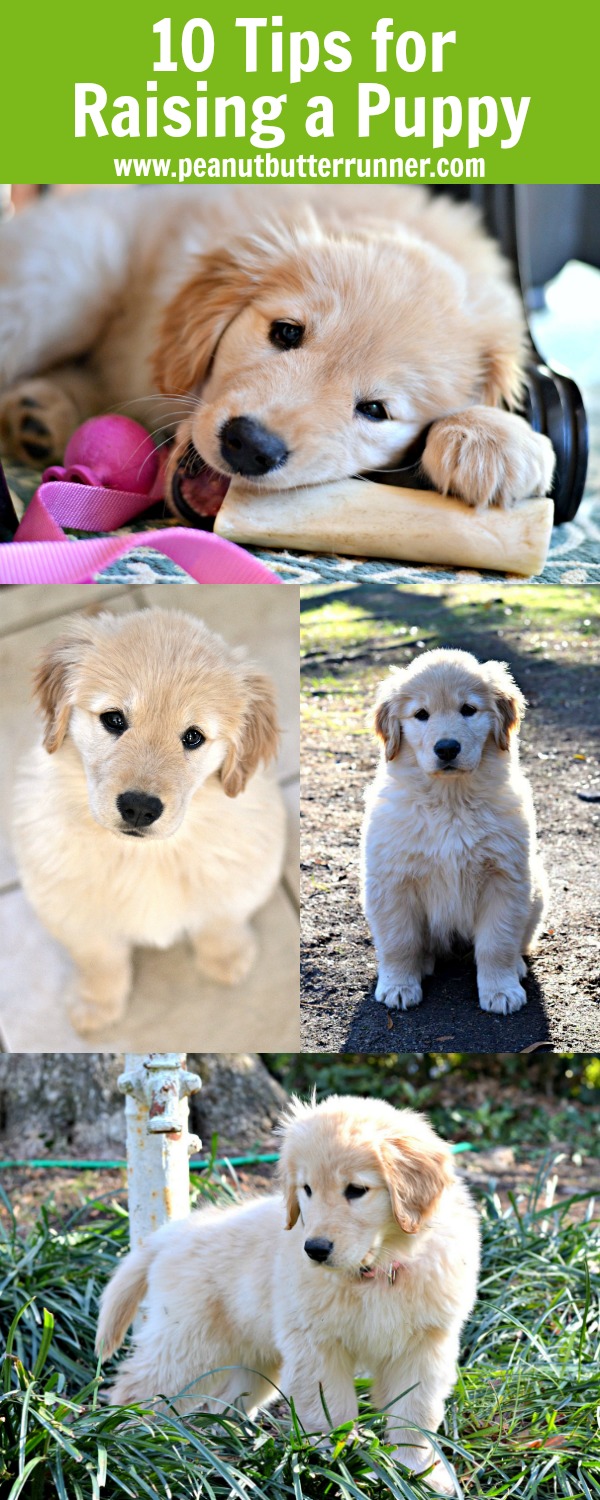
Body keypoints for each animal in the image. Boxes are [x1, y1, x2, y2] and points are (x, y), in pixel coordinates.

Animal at [0, 185, 552, 516]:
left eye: (375, 410)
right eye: (286, 333)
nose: (250, 445)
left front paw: (493, 439)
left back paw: (40, 416)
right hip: (71, 271)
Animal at [12, 606, 285, 1032]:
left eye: (193, 737)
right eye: (113, 719)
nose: (140, 808)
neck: (146, 855)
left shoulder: (240, 878)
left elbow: (220, 921)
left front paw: (226, 959)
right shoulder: (72, 911)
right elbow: (99, 958)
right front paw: (96, 1002)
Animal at [99, 1098, 483, 1494]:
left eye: (356, 1190)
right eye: (307, 1189)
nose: (314, 1250)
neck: (376, 1271)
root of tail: (171, 1235)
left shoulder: (423, 1345)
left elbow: (416, 1413)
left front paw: (419, 1473)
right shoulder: (317, 1347)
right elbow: (331, 1410)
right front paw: (335, 1465)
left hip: (254, 1361)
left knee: (222, 1404)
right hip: (186, 1343)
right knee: (138, 1388)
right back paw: (128, 1443)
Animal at [361, 648, 549, 1020]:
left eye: (468, 709)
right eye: (421, 714)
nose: (447, 748)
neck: (450, 803)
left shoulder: (504, 879)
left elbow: (497, 942)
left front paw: (501, 990)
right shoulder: (392, 881)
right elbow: (399, 942)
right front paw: (399, 986)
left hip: (536, 892)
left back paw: (516, 968)